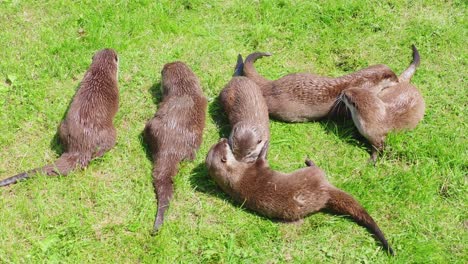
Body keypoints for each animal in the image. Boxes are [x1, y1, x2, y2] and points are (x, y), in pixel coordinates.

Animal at [207, 139, 394, 255]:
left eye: (219, 143)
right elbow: (262, 159)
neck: (237, 174)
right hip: (314, 174)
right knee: (317, 168)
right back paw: (309, 161)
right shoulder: (257, 167)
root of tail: (325, 191)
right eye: (224, 145)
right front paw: (265, 145)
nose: (224, 138)